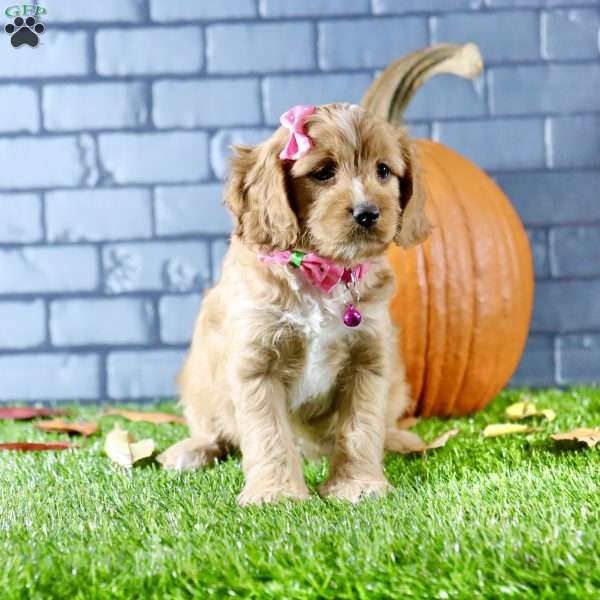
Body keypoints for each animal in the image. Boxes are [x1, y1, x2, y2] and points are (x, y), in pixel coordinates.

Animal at [158, 101, 432, 504]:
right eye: (323, 173)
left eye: (383, 170)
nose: (368, 212)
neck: (321, 272)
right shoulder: (256, 364)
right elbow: (268, 434)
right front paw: (276, 494)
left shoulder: (368, 360)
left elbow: (361, 427)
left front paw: (358, 485)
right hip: (199, 379)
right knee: (213, 427)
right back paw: (191, 450)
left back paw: (400, 439)